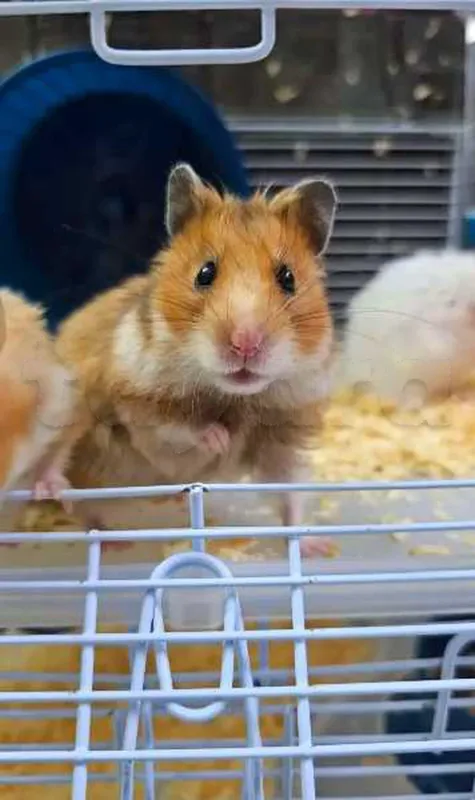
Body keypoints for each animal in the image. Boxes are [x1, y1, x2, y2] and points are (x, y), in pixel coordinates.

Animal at [56, 163, 338, 557]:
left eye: (288, 278)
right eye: (205, 273)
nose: (245, 343)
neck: (235, 397)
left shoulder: (282, 439)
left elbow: (289, 496)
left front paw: (318, 546)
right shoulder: (136, 403)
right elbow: (177, 427)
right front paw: (220, 439)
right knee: (83, 508)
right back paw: (114, 541)